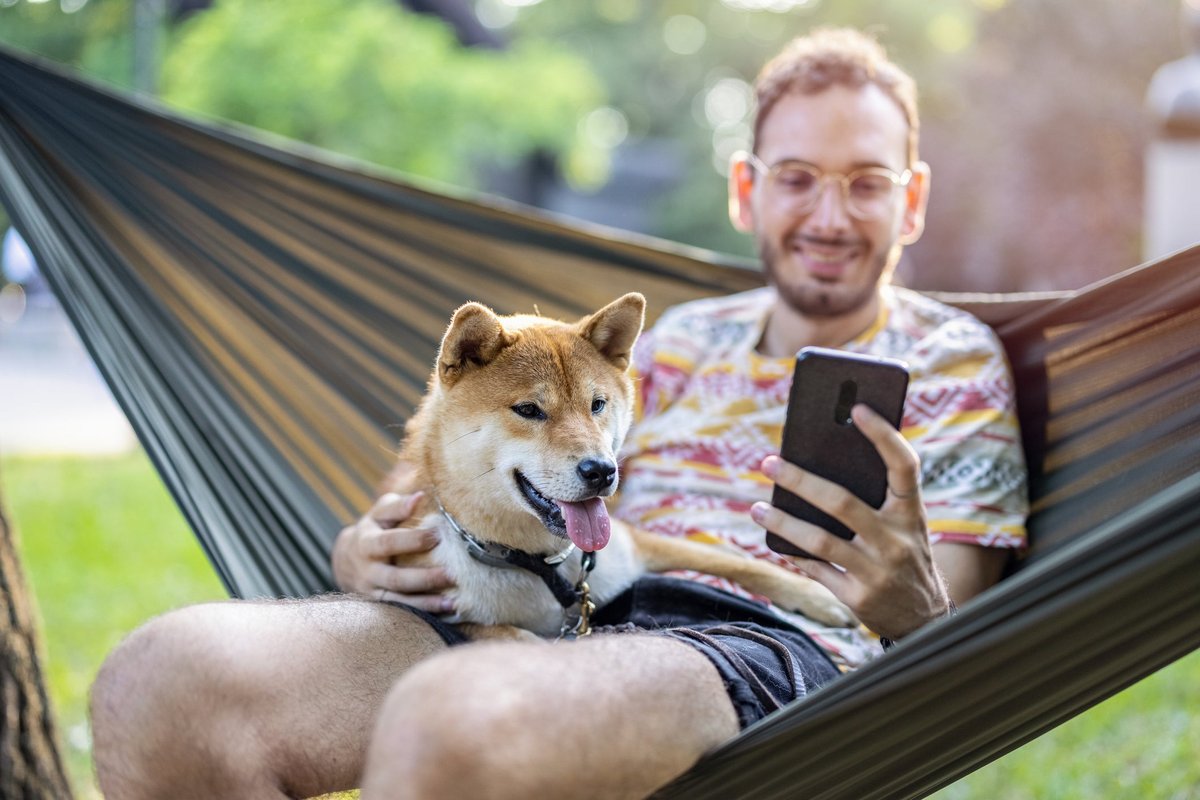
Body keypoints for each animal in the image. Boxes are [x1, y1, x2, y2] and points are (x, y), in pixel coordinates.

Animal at [384, 292, 854, 638]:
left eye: (597, 404)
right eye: (529, 410)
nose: (601, 471)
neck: (543, 565)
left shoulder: (639, 548)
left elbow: (735, 563)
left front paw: (818, 595)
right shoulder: (458, 613)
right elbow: (512, 637)